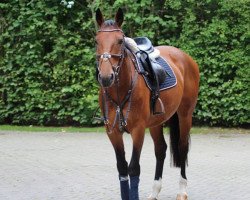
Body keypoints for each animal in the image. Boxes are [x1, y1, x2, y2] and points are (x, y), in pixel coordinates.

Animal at [94, 8, 200, 200]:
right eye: (96, 41)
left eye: (120, 41)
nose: (106, 77)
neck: (121, 91)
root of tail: (185, 57)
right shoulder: (112, 132)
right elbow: (122, 168)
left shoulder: (138, 130)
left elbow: (134, 168)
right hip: (156, 122)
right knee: (161, 150)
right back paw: (155, 191)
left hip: (185, 114)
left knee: (182, 147)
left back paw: (182, 190)